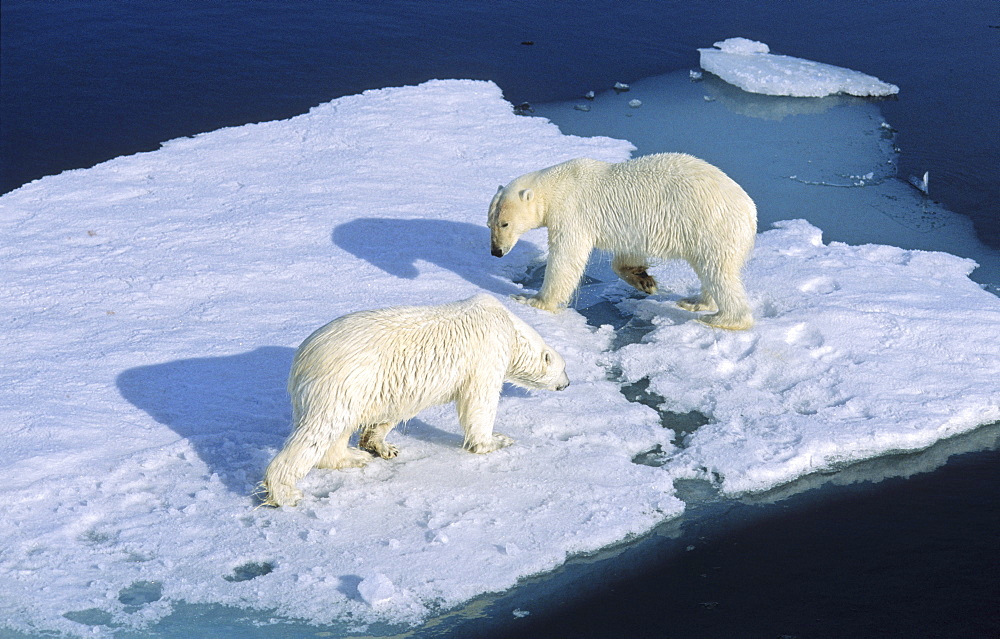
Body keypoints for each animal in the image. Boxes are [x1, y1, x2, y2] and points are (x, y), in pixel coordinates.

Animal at [260, 296, 572, 510]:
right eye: (564, 367)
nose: (567, 384)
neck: (508, 325)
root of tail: (303, 357)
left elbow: (394, 408)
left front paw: (382, 446)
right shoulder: (487, 351)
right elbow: (480, 401)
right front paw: (496, 440)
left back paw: (352, 457)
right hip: (345, 379)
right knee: (319, 429)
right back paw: (285, 493)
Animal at [488, 151, 752, 330]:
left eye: (505, 224)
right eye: (490, 223)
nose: (496, 251)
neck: (556, 185)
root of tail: (750, 210)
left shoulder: (571, 212)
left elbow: (566, 257)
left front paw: (533, 300)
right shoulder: (631, 229)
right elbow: (627, 254)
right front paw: (644, 280)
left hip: (711, 227)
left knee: (718, 273)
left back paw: (722, 318)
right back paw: (695, 302)